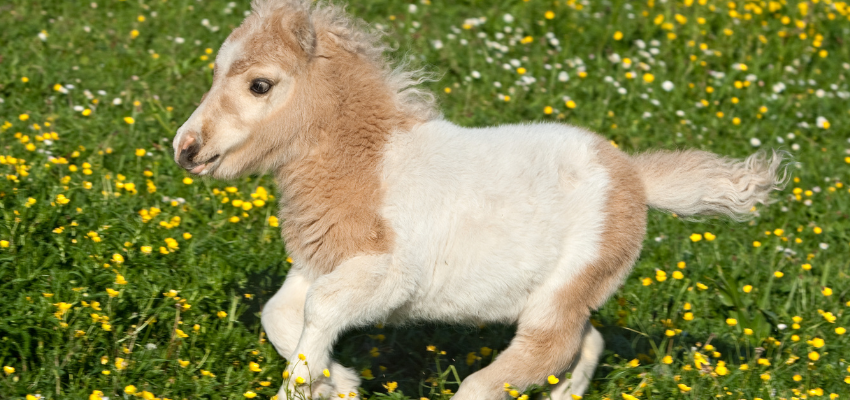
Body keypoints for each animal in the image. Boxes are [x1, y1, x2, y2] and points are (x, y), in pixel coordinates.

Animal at [174, 1, 788, 398]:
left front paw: (309, 386)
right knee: (585, 341)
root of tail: (634, 176)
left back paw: (480, 390)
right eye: (215, 72)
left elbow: (318, 312)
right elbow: (280, 313)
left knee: (546, 348)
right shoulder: (319, 264)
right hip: (557, 294)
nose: (186, 148)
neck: (369, 165)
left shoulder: (387, 279)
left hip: (566, 287)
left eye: (260, 84)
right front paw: (339, 382)